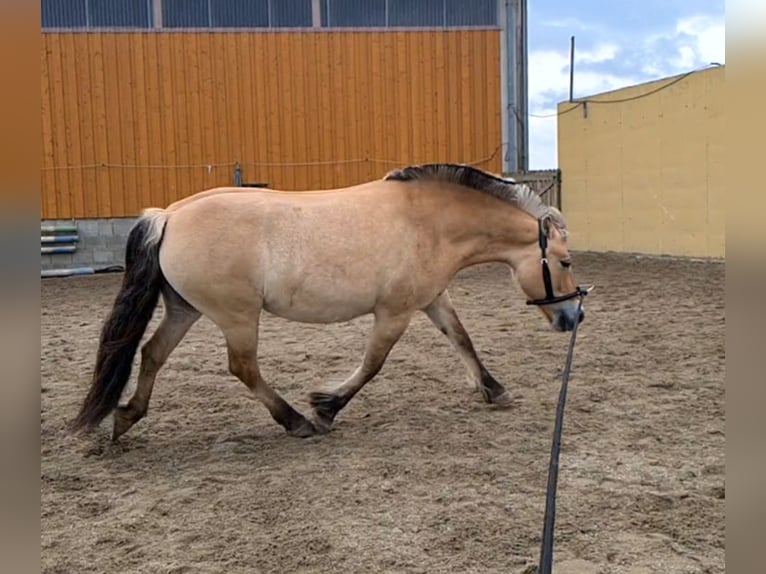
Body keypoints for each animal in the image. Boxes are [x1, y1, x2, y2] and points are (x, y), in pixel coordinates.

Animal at [70, 164, 588, 444]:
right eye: (564, 261)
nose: (573, 316)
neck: (429, 222)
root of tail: (170, 215)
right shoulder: (394, 312)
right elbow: (373, 363)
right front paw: (325, 408)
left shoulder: (431, 300)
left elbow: (462, 340)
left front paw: (494, 390)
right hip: (236, 316)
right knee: (243, 368)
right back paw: (296, 422)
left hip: (186, 309)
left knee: (152, 353)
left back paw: (125, 418)